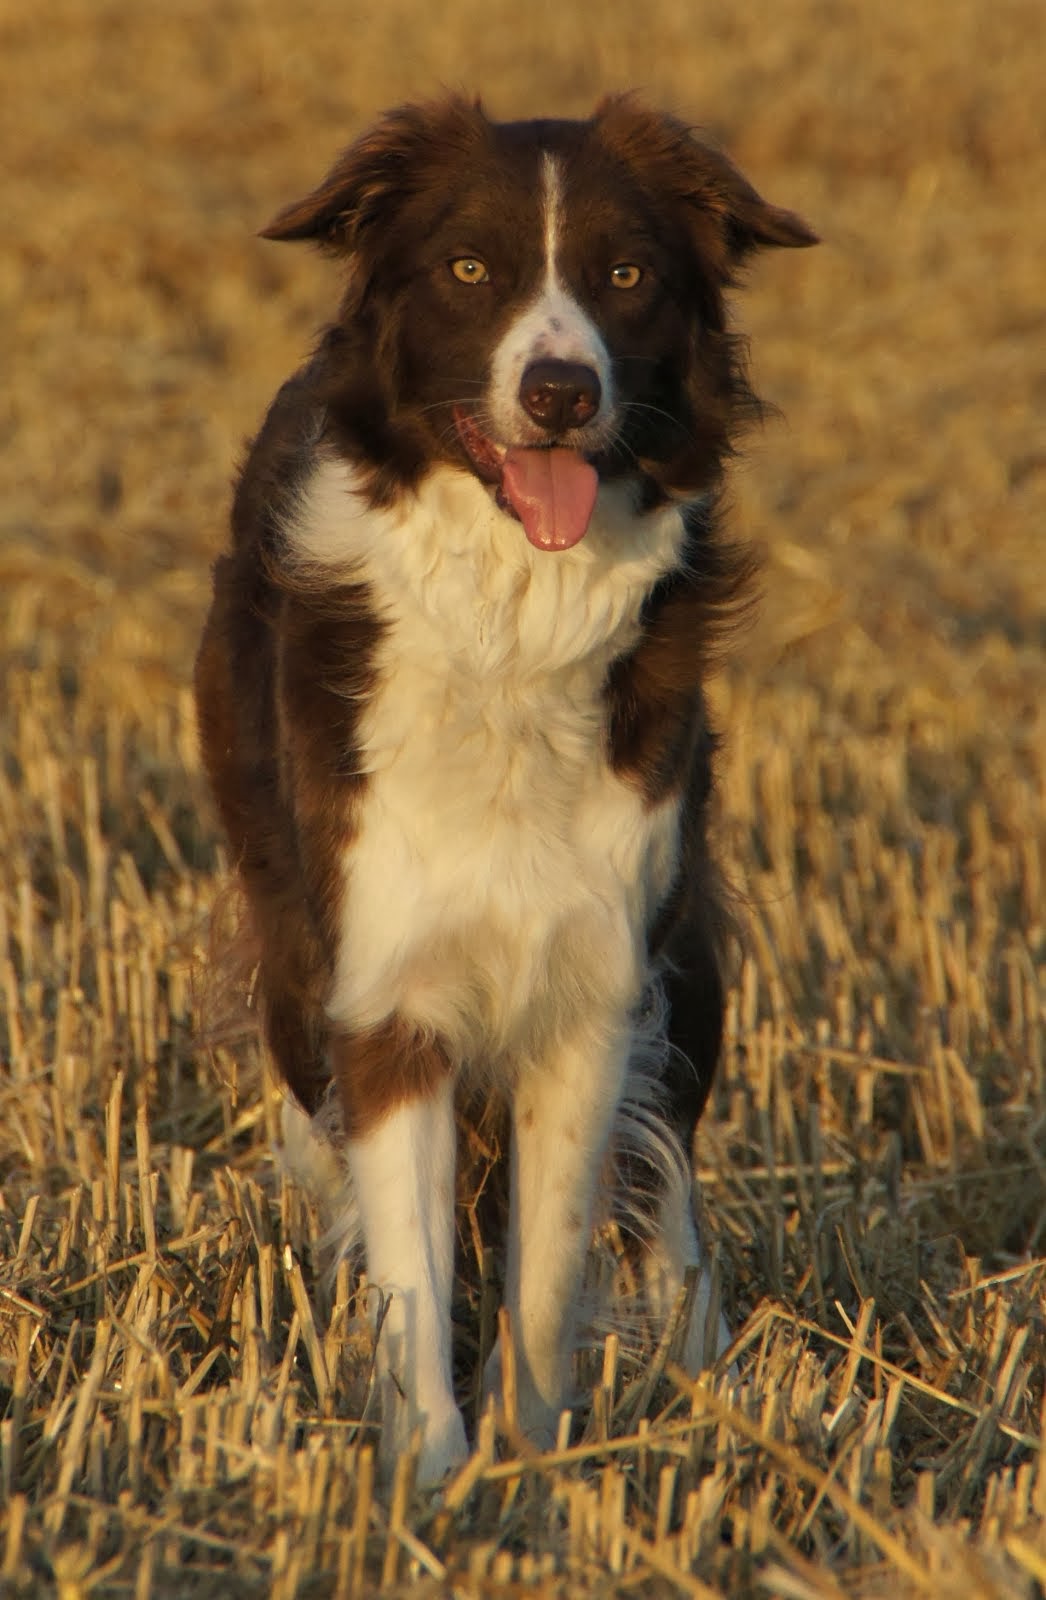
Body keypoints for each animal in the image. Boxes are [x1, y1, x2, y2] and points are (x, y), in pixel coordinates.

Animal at [196, 93, 818, 1478]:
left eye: (626, 277)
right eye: (469, 270)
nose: (558, 391)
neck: (509, 622)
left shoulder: (596, 978)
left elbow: (547, 1258)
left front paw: (532, 1453)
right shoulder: (383, 991)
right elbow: (416, 1266)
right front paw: (429, 1475)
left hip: (684, 955)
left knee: (664, 1172)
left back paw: (705, 1369)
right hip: (293, 954)